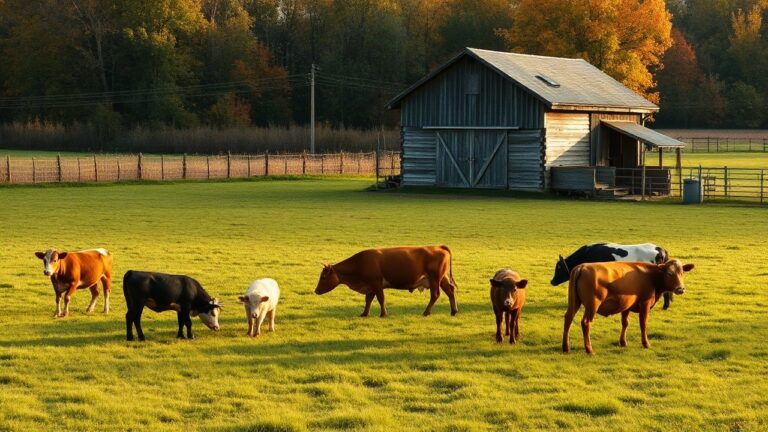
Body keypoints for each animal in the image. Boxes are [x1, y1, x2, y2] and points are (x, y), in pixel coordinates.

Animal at [314, 245, 458, 317]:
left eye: (323, 277)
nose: (316, 291)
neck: (360, 263)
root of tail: (438, 247)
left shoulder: (376, 283)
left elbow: (380, 299)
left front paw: (383, 314)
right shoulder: (370, 285)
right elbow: (368, 300)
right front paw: (364, 313)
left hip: (435, 279)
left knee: (435, 295)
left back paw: (426, 312)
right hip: (442, 278)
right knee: (450, 291)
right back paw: (453, 311)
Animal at [562, 260, 694, 354]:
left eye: (682, 273)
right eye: (669, 273)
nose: (680, 289)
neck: (651, 275)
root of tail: (582, 266)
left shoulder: (626, 306)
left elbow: (625, 323)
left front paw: (623, 342)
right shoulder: (645, 303)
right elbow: (643, 324)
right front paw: (646, 343)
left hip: (574, 301)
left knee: (568, 318)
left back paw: (566, 347)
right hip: (592, 305)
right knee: (585, 322)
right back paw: (589, 349)